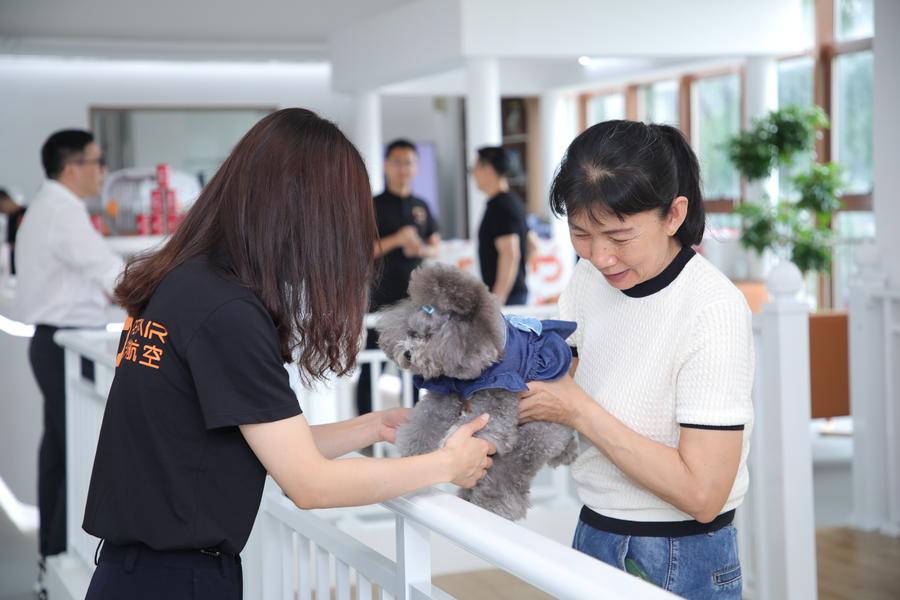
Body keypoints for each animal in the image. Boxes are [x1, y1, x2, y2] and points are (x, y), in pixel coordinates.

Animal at [372, 264, 576, 520]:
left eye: (430, 336)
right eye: (411, 333)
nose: (407, 354)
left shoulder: (498, 395)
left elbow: (488, 427)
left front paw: (453, 439)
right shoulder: (446, 392)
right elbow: (424, 423)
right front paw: (415, 453)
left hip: (535, 436)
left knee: (508, 474)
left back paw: (494, 506)